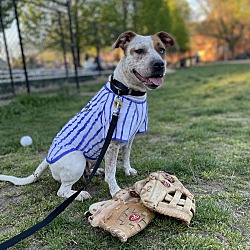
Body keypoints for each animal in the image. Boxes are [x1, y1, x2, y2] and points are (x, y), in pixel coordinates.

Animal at [0, 30, 175, 201]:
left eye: (161, 50)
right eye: (139, 51)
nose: (159, 64)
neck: (126, 91)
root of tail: (47, 159)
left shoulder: (129, 137)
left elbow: (126, 157)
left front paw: (128, 170)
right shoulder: (112, 142)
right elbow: (111, 172)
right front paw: (115, 191)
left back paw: (95, 172)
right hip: (77, 159)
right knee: (62, 190)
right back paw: (80, 194)